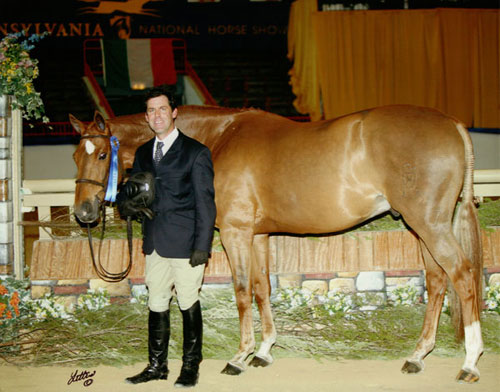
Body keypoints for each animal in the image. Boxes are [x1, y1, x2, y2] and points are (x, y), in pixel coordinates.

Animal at [70, 105, 484, 382]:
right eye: (75, 155)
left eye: (103, 154)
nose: (84, 212)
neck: (220, 137)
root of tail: (451, 123)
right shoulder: (258, 236)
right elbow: (261, 289)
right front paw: (265, 351)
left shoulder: (235, 232)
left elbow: (241, 291)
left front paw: (239, 356)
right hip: (421, 227)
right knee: (437, 281)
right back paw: (417, 356)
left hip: (429, 224)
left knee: (462, 276)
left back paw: (469, 361)